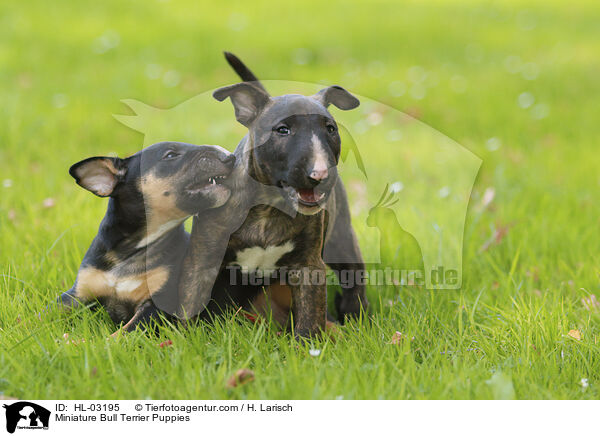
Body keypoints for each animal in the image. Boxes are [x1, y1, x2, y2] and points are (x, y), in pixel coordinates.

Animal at [59, 141, 234, 332]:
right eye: (170, 155)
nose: (229, 156)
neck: (131, 249)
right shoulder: (75, 294)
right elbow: (47, 312)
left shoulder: (156, 307)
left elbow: (123, 333)